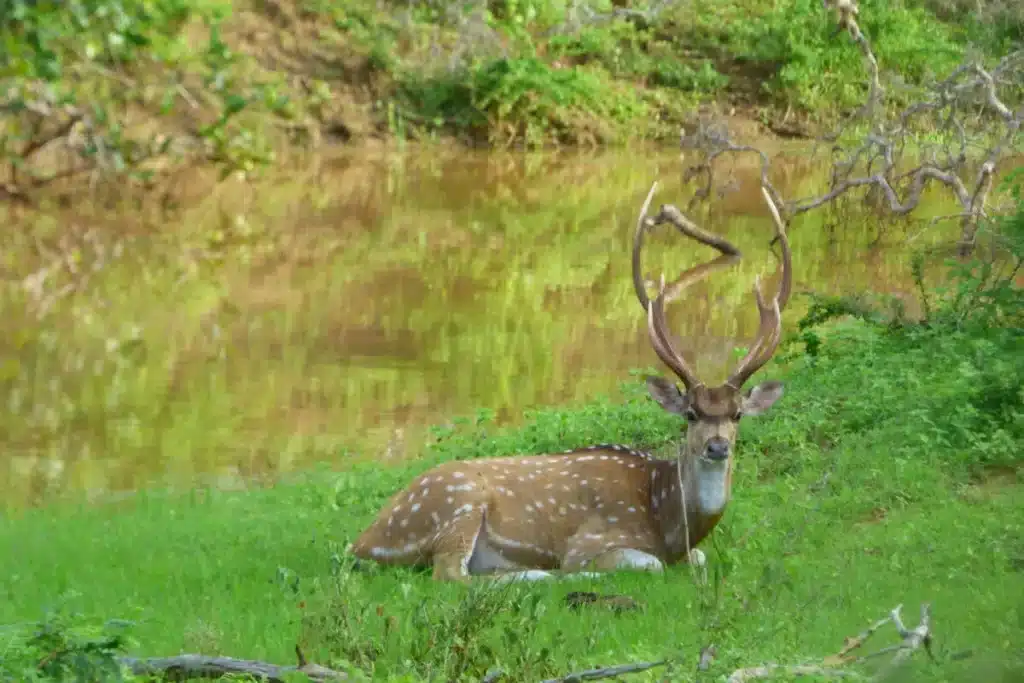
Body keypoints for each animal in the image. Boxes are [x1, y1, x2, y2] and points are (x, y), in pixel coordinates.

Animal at [349, 183, 793, 582]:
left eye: (737, 414)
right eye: (691, 414)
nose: (717, 446)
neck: (669, 526)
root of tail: (363, 542)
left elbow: (699, 558)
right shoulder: (593, 540)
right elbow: (643, 563)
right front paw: (578, 572)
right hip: (458, 503)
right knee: (450, 575)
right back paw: (538, 574)